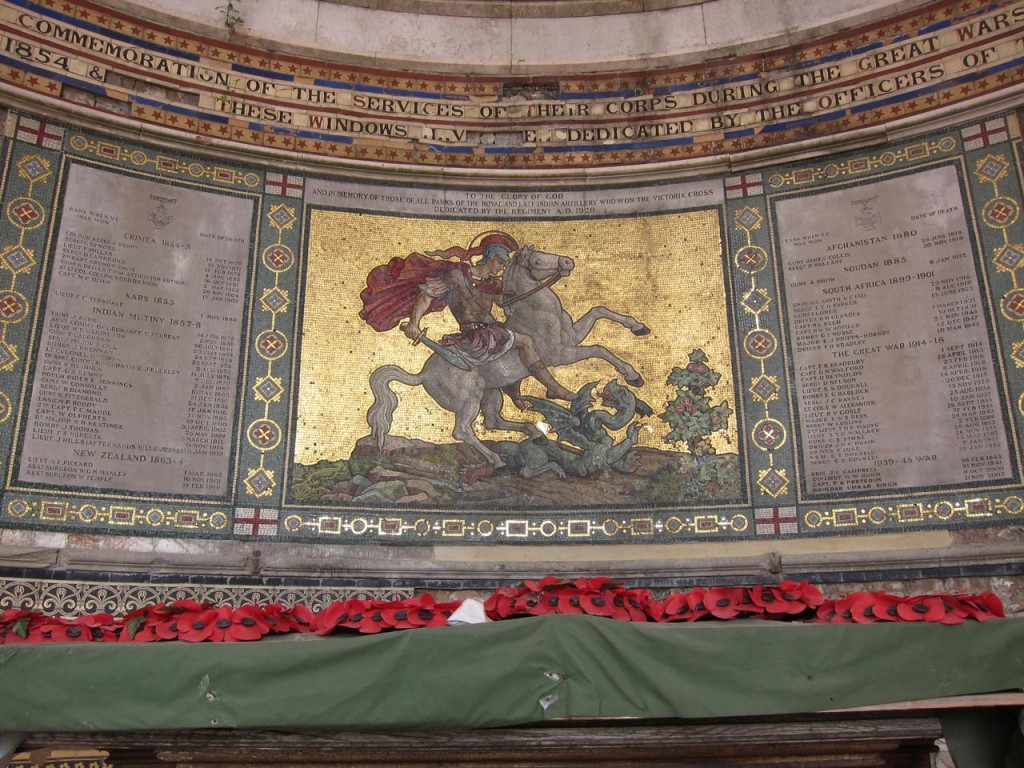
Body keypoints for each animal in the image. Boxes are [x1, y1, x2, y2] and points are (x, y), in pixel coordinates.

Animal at [368, 246, 647, 466]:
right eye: (537, 261)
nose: (568, 262)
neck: (535, 310)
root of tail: (423, 374)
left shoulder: (573, 336)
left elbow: (599, 310)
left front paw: (638, 327)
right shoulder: (562, 354)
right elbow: (600, 349)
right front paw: (631, 375)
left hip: (490, 394)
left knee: (492, 421)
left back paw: (533, 432)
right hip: (469, 399)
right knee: (462, 431)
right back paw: (496, 459)